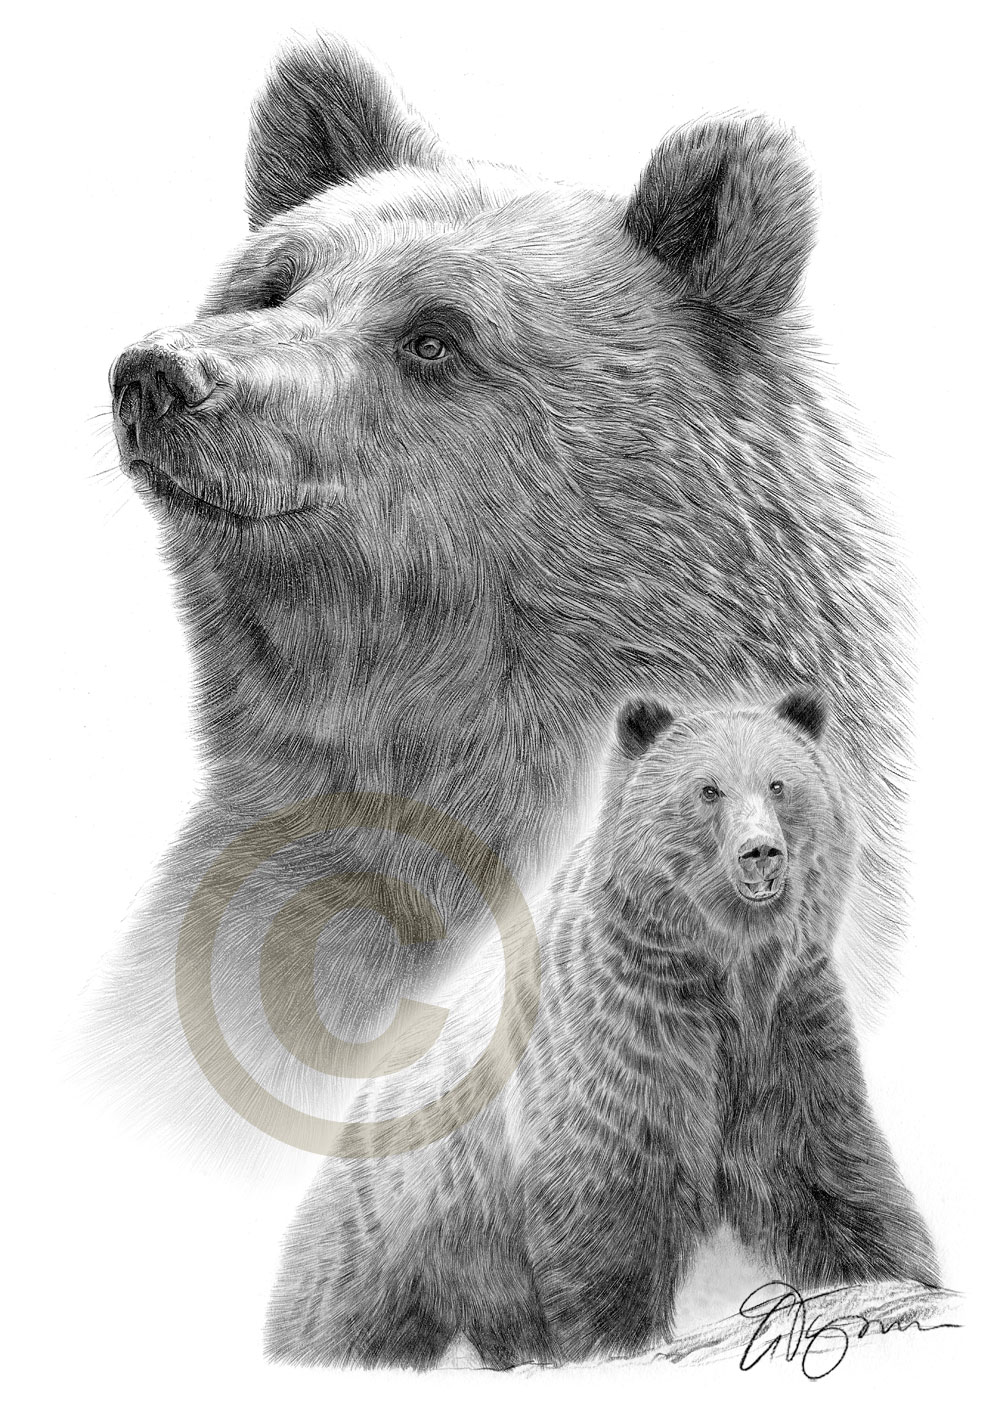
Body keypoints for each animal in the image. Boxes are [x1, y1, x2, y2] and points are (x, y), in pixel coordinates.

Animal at [263, 689, 938, 1370]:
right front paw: (617, 1339)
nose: (760, 851)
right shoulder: (626, 1033)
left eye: (779, 784)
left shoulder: (785, 1025)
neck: (723, 968)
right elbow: (605, 1196)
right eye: (707, 789)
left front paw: (890, 1274)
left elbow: (822, 1162)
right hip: (395, 1233)